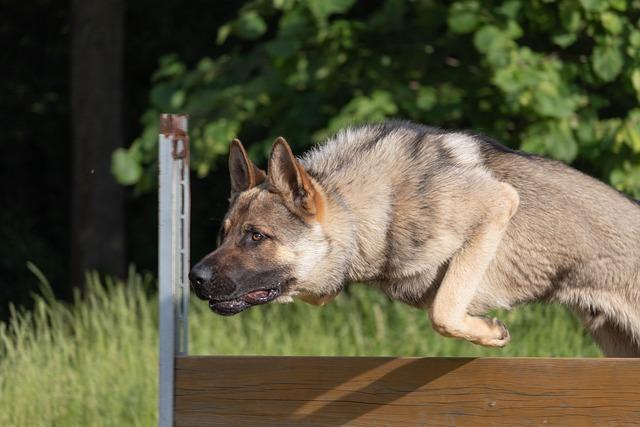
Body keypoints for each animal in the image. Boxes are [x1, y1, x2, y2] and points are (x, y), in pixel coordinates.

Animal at [189, 120, 640, 358]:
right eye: (223, 234)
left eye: (256, 236)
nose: (194, 278)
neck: (372, 208)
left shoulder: (497, 203)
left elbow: (443, 311)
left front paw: (491, 333)